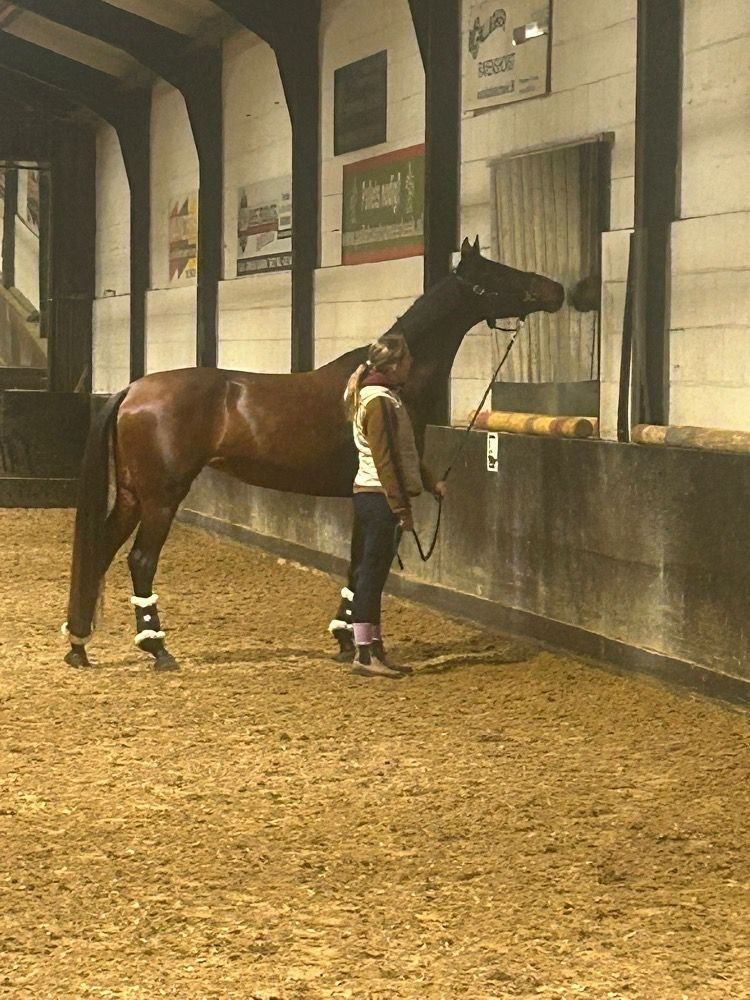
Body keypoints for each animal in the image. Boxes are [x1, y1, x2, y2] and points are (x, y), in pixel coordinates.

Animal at [62, 237, 564, 670]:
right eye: (497, 272)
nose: (555, 290)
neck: (382, 382)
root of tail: (132, 390)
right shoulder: (382, 498)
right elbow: (366, 568)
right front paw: (359, 643)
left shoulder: (362, 499)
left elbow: (355, 565)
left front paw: (344, 638)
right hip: (161, 499)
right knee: (140, 561)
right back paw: (157, 649)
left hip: (132, 495)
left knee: (101, 551)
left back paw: (79, 644)